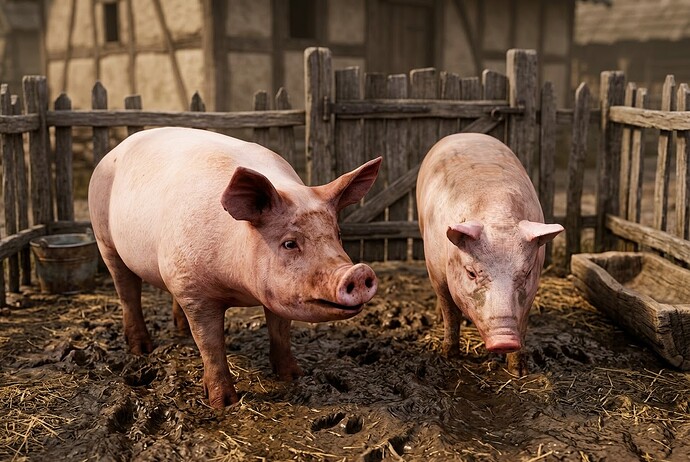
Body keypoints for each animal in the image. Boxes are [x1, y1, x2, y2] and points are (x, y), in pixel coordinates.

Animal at [88, 127, 381, 408]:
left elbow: (280, 332)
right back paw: (142, 349)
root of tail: (115, 149)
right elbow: (211, 344)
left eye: (338, 235)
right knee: (127, 292)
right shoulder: (194, 292)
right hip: (105, 240)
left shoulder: (274, 293)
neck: (239, 287)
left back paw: (180, 330)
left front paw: (293, 376)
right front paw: (223, 405)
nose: (358, 272)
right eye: (289, 243)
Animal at [416, 133, 563, 370]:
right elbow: (450, 314)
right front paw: (449, 357)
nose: (504, 341)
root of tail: (466, 134)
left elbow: (523, 323)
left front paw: (518, 371)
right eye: (471, 273)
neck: (497, 213)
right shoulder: (435, 272)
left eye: (526, 274)